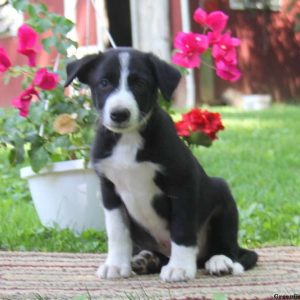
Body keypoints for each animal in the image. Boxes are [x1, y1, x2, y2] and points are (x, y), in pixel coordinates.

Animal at [65, 47, 258, 282]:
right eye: (104, 83)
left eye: (140, 83)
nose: (119, 114)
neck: (128, 139)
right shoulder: (109, 189)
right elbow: (117, 231)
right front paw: (116, 265)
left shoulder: (183, 183)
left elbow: (182, 228)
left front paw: (180, 268)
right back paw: (146, 259)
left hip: (222, 195)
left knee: (230, 248)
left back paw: (220, 261)